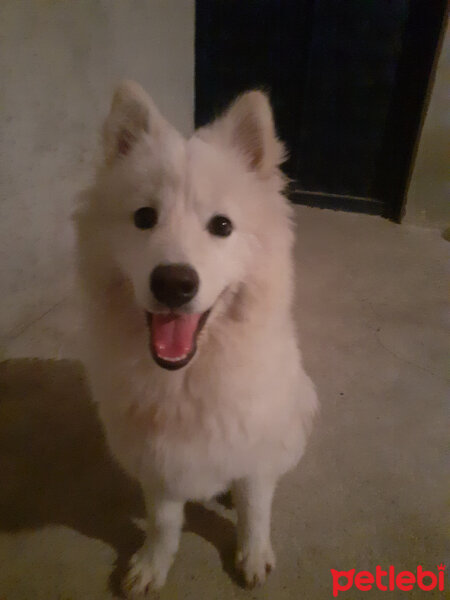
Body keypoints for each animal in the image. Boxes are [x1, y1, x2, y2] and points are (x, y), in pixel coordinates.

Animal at [74, 82, 318, 596]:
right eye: (144, 217)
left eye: (221, 225)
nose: (174, 283)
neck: (186, 378)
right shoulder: (158, 465)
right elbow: (164, 523)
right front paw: (152, 565)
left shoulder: (255, 457)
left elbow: (255, 509)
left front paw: (252, 554)